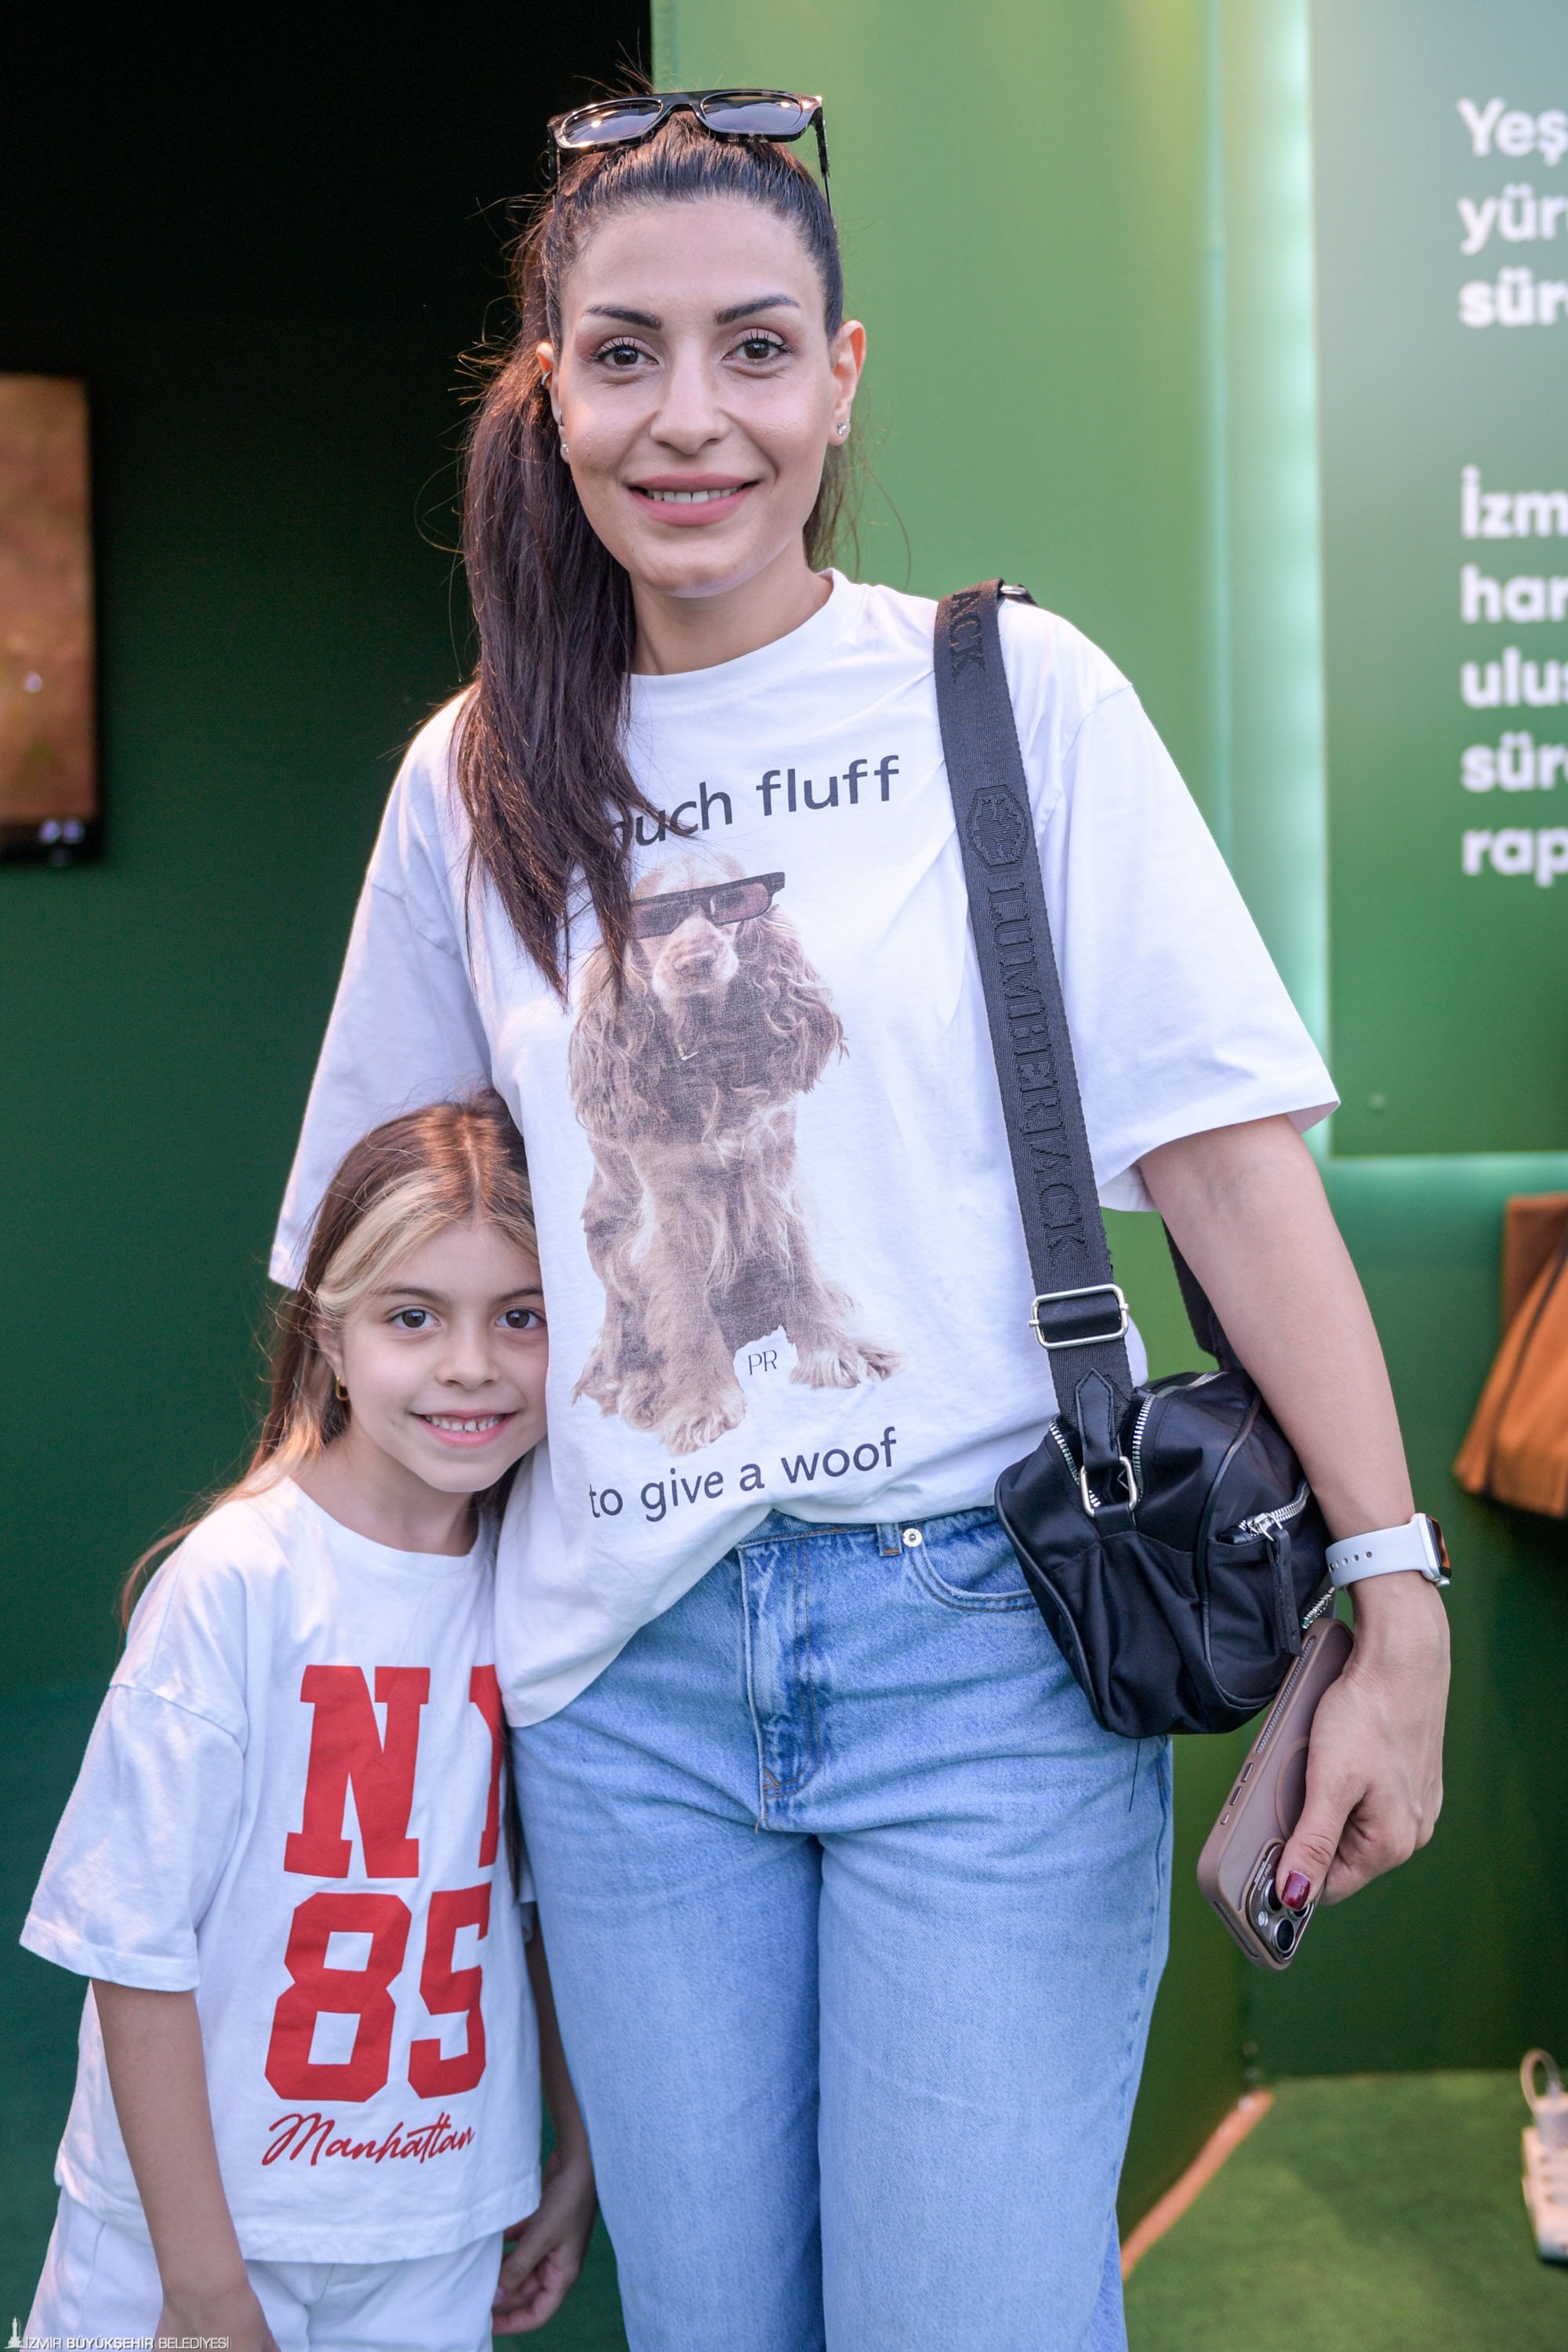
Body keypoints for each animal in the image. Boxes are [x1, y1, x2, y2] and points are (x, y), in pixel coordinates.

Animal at [568, 852, 900, 1455]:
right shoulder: (671, 1212)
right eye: (658, 919)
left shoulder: (776, 1173)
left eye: (730, 906)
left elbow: (802, 1273)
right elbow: (688, 1316)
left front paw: (835, 1355)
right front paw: (702, 1406)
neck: (711, 1059)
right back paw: (646, 1392)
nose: (697, 960)